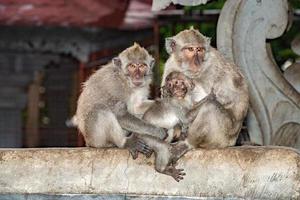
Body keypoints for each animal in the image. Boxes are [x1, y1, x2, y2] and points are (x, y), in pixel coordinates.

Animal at [74, 43, 185, 181]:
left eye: (142, 66)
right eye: (132, 66)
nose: (137, 76)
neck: (126, 81)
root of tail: (87, 141)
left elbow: (136, 107)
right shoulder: (114, 85)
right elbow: (120, 114)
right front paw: (158, 132)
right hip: (95, 138)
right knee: (100, 110)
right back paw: (126, 143)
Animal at [161, 27, 250, 160]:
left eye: (200, 49)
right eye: (190, 49)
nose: (197, 62)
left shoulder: (214, 62)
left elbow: (237, 96)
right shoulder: (170, 65)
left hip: (223, 137)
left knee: (211, 107)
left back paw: (188, 143)